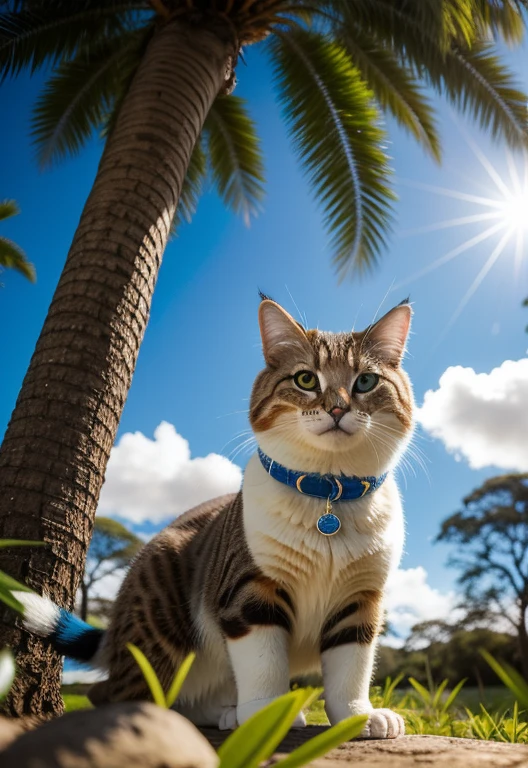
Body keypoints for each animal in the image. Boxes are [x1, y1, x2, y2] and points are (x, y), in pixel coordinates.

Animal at [13, 296, 412, 736]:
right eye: (306, 379)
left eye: (366, 382)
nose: (338, 408)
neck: (328, 495)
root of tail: (115, 631)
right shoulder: (249, 589)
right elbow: (262, 662)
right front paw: (265, 714)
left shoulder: (360, 597)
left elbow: (350, 667)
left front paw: (358, 715)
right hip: (160, 611)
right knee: (117, 692)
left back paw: (226, 712)